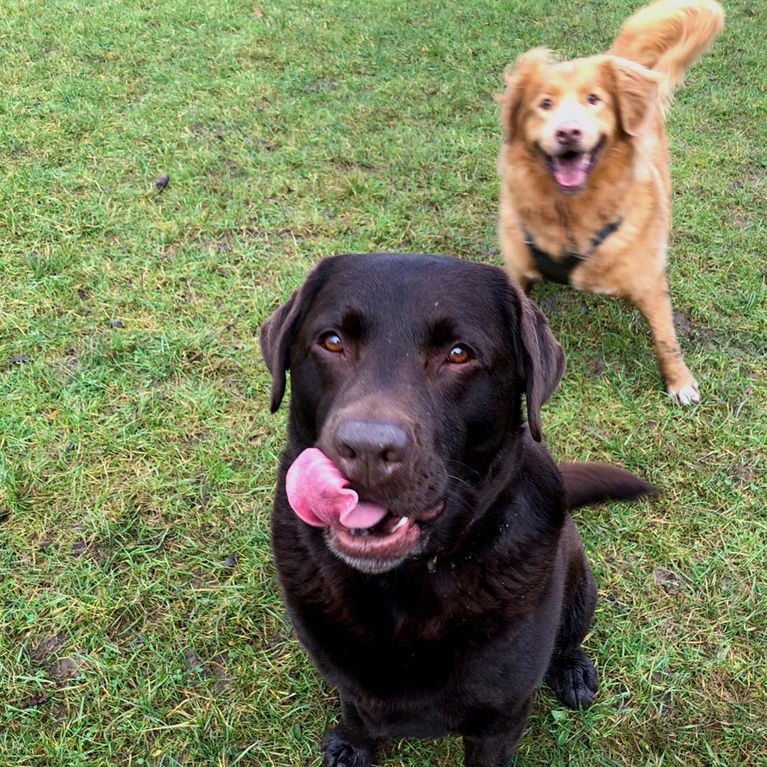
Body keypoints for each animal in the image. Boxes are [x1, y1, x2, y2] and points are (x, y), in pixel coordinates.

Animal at [498, 0, 728, 404]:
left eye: (594, 99)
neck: (572, 212)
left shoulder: (649, 281)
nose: (568, 131)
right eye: (545, 103)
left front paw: (679, 381)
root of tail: (619, 60)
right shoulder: (518, 269)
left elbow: (666, 338)